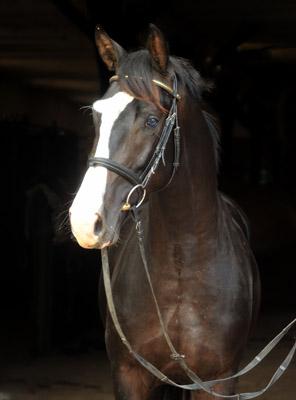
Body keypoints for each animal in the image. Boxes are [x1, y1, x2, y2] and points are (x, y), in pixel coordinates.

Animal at [68, 25, 260, 400]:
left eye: (152, 119)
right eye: (97, 115)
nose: (85, 221)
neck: (183, 261)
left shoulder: (219, 381)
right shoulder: (130, 375)